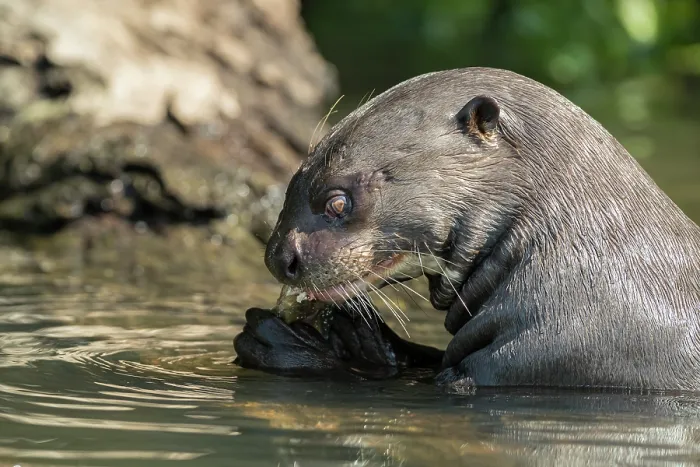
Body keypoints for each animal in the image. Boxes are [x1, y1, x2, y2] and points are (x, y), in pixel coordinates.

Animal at [233, 67, 700, 391]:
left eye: (337, 201)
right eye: (291, 184)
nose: (278, 257)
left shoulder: (558, 351)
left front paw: (282, 344)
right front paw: (359, 338)